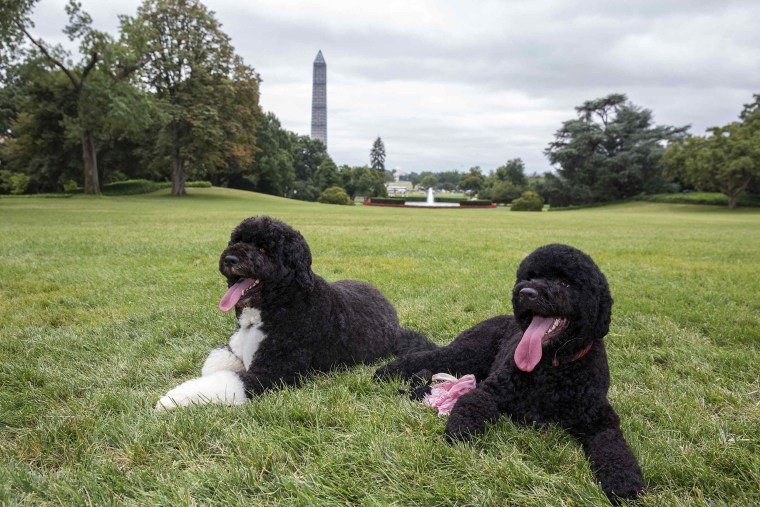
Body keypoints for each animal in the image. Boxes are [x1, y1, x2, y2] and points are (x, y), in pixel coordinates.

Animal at [156, 216, 434, 410]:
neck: (279, 305)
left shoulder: (274, 372)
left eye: (265, 249)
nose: (230, 259)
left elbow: (226, 380)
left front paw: (171, 399)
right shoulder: (235, 349)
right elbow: (215, 364)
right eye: (236, 240)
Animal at [378, 245, 644, 500]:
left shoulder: (600, 419)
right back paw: (385, 372)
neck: (552, 367)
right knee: (429, 357)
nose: (526, 293)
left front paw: (625, 482)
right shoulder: (491, 390)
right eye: (530, 276)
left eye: (565, 283)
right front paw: (460, 432)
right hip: (466, 353)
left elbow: (614, 448)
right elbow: (472, 403)